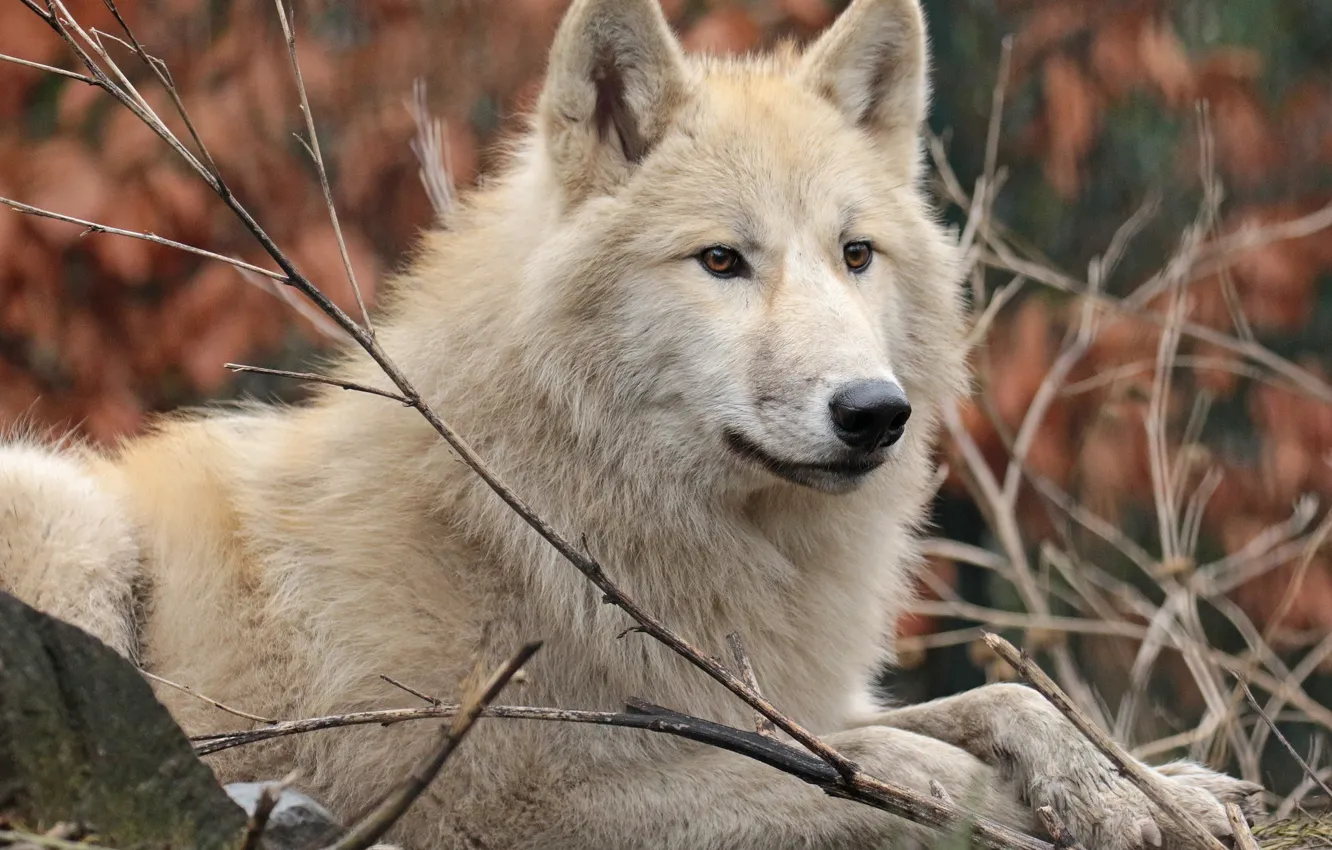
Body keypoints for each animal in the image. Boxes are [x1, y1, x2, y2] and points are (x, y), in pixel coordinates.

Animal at [0, 0, 1261, 847]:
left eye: (856, 254)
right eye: (722, 261)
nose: (875, 413)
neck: (553, 512)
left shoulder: (779, 694)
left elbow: (1003, 700)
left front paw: (1151, 789)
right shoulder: (525, 792)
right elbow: (884, 773)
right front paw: (1007, 790)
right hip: (70, 521)